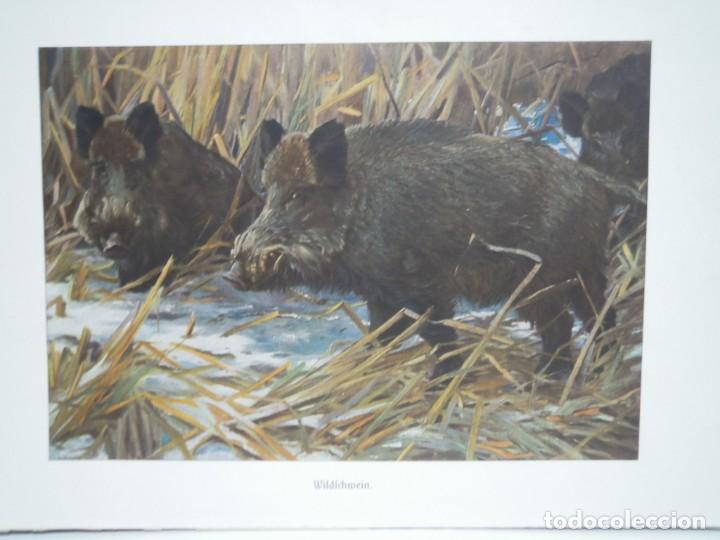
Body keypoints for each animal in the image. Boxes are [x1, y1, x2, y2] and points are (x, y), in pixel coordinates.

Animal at [225, 119, 618, 378]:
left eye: (297, 195)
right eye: (266, 191)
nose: (233, 274)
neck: (361, 209)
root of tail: (595, 180)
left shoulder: (423, 285)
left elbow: (436, 332)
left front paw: (441, 380)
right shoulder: (380, 291)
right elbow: (382, 330)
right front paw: (366, 358)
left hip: (540, 278)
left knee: (561, 324)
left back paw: (547, 375)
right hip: (585, 270)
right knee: (600, 313)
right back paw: (599, 362)